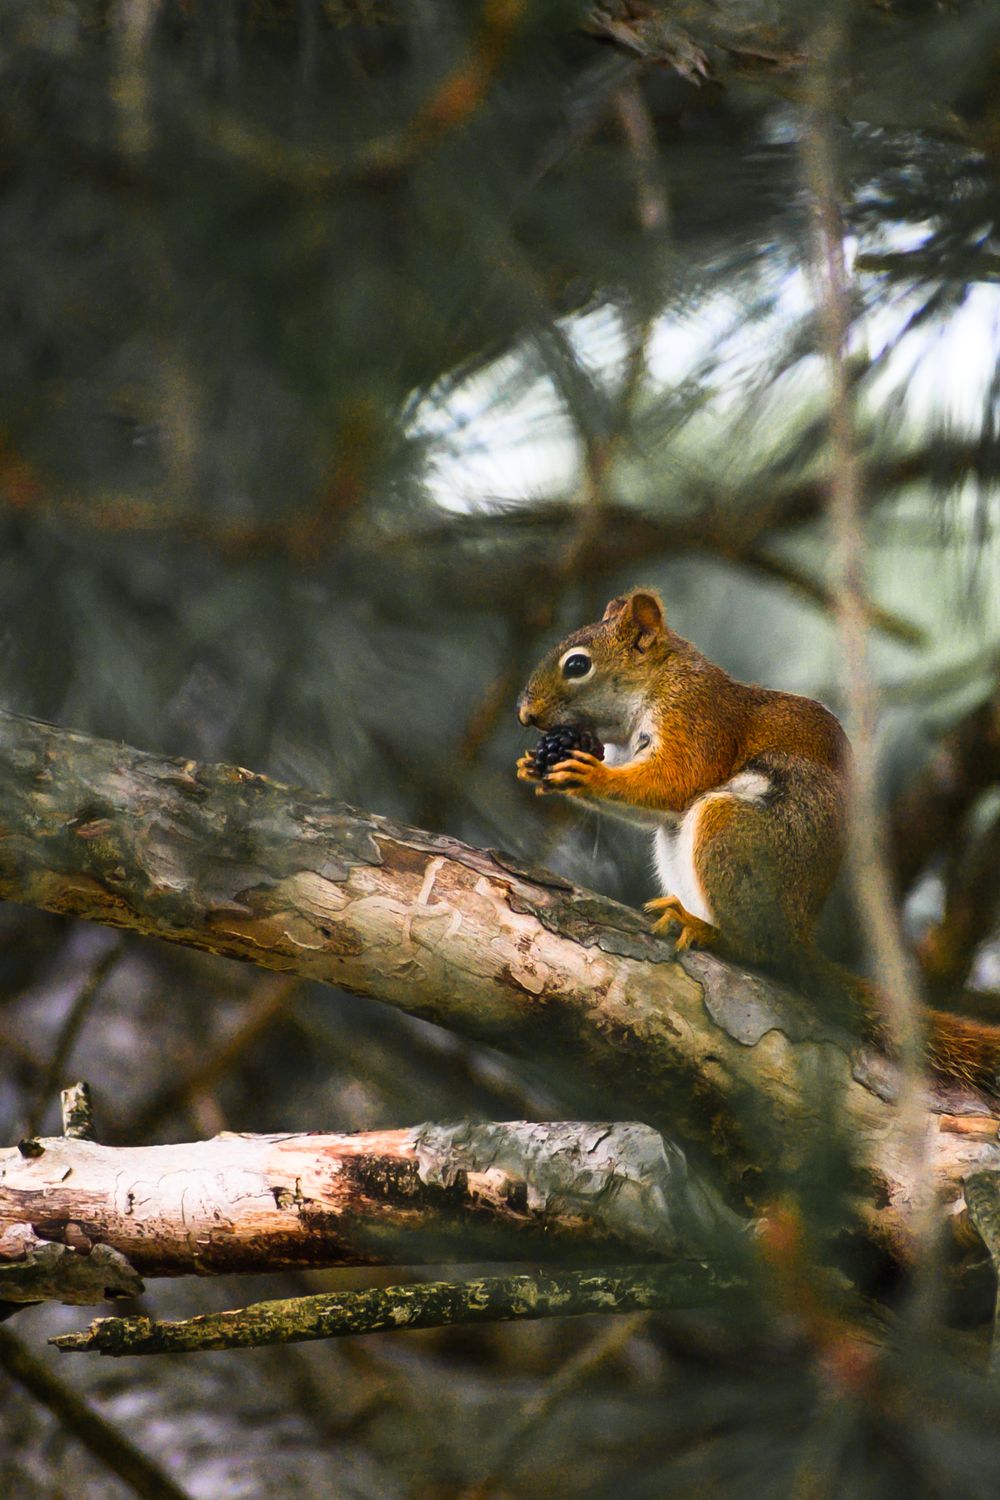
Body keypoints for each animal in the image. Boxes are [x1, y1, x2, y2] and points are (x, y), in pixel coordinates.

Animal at [516, 587, 1000, 1097]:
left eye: (577, 665)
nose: (525, 715)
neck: (660, 678)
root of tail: (796, 934)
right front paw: (536, 765)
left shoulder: (698, 718)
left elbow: (677, 780)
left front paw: (588, 774)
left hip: (732, 832)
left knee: (757, 951)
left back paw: (711, 932)